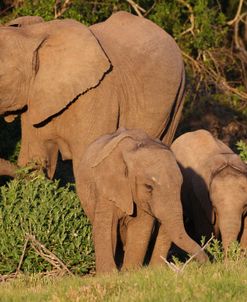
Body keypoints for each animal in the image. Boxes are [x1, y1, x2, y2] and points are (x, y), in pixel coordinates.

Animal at [75, 127, 206, 274]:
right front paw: (109, 275)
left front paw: (130, 272)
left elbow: (141, 227)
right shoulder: (106, 188)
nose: (202, 263)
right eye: (148, 187)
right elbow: (107, 227)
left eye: (180, 185)